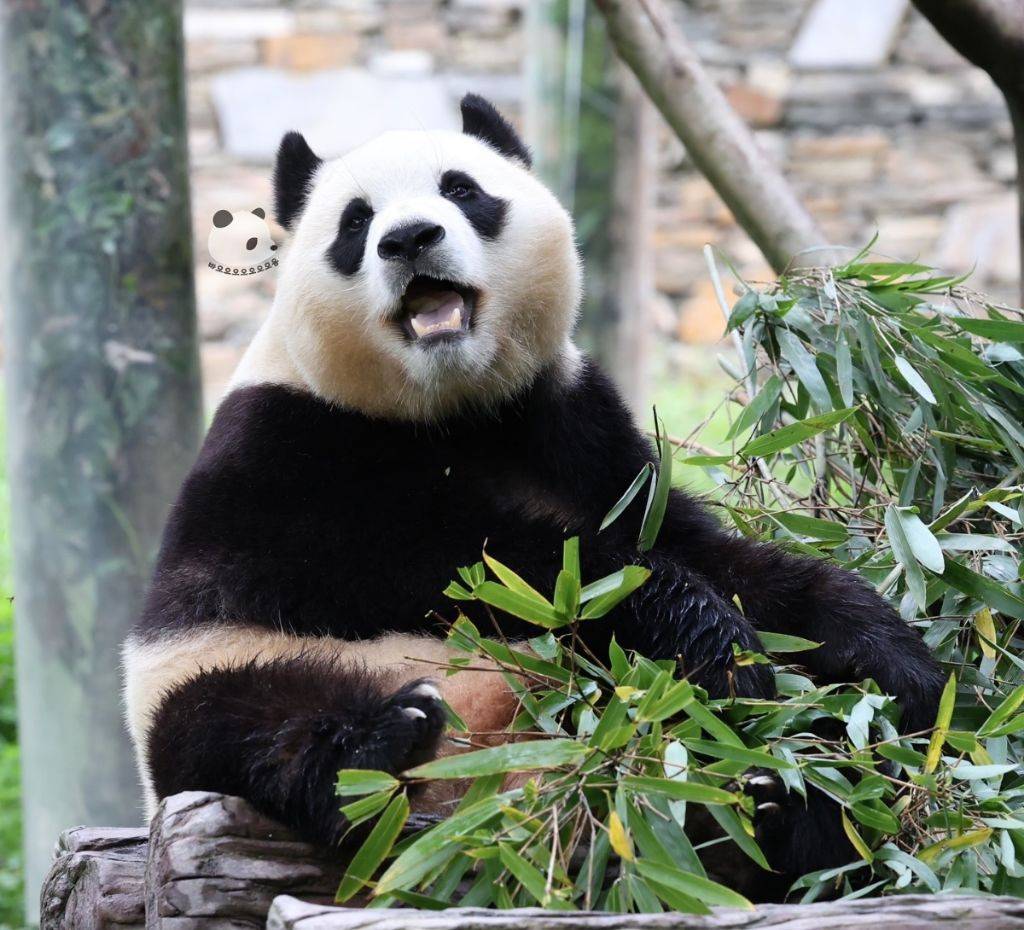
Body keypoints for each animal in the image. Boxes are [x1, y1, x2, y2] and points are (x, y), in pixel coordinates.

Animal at [121, 94, 942, 901]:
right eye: (355, 223)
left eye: (461, 189)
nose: (409, 238)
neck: (451, 405)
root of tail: (500, 785)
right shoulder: (279, 448)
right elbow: (456, 563)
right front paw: (705, 636)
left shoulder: (577, 428)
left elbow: (708, 554)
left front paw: (891, 658)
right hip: (218, 680)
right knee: (244, 724)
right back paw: (385, 743)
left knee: (806, 755)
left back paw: (788, 807)